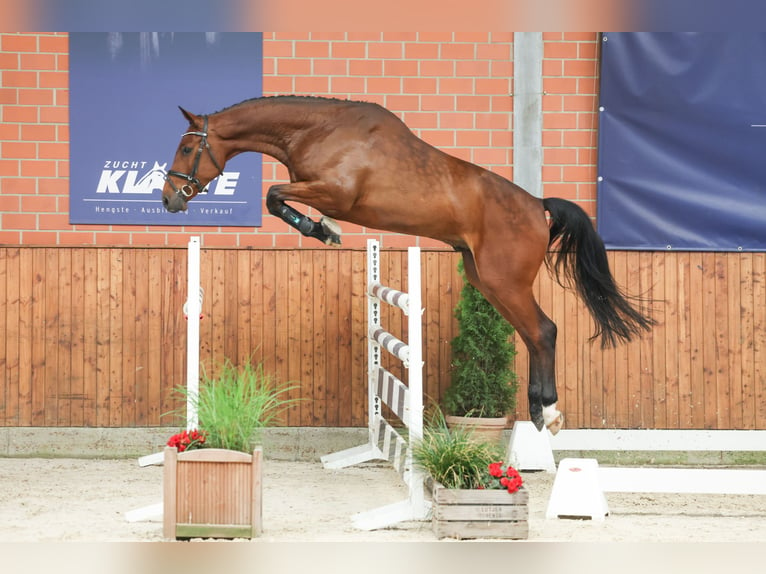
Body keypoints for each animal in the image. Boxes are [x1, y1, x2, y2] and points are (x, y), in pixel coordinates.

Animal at [164, 95, 656, 436]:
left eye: (187, 148)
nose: (169, 199)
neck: (319, 130)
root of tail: (538, 206)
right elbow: (277, 196)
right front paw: (323, 229)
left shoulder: (335, 192)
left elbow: (274, 195)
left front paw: (324, 230)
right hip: (486, 280)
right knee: (533, 335)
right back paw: (537, 412)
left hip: (505, 281)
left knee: (543, 331)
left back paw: (549, 413)